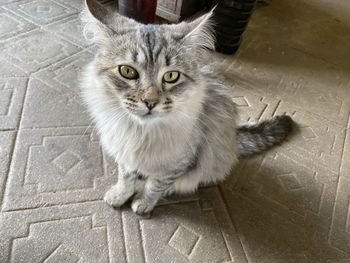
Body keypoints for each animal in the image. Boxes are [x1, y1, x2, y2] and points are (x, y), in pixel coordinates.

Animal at [79, 0, 292, 217]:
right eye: (127, 71)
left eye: (171, 76)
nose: (150, 102)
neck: (141, 132)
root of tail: (234, 136)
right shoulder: (123, 152)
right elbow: (126, 178)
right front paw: (119, 195)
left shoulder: (177, 163)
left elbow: (155, 185)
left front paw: (144, 203)